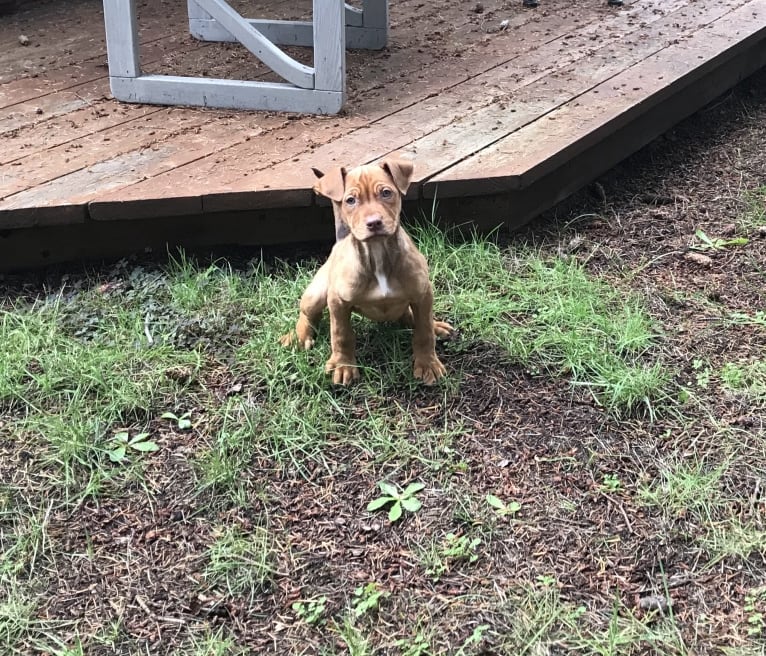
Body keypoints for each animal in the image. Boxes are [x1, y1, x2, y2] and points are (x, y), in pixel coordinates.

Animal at [280, 158, 452, 384]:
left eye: (386, 193)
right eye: (351, 200)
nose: (374, 223)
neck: (377, 255)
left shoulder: (423, 293)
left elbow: (424, 331)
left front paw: (427, 363)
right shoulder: (337, 301)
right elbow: (341, 335)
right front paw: (343, 365)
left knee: (410, 316)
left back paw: (436, 325)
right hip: (316, 294)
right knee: (307, 315)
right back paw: (299, 337)